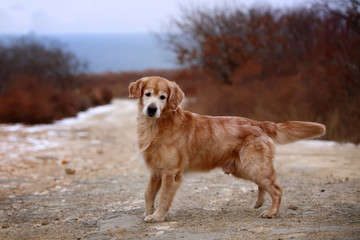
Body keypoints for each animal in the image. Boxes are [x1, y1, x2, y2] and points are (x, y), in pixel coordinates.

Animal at [128, 76, 324, 222]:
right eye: (147, 94)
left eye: (162, 97)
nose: (151, 109)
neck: (157, 125)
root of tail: (259, 123)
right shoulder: (155, 171)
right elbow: (148, 194)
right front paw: (148, 213)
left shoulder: (170, 172)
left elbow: (163, 197)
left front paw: (157, 217)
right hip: (243, 168)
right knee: (264, 185)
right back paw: (259, 204)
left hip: (253, 165)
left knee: (276, 189)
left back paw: (271, 212)